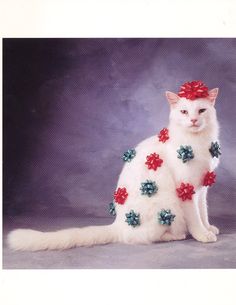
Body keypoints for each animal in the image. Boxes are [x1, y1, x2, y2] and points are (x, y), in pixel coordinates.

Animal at [7, 80, 221, 249]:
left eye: (201, 110)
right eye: (184, 112)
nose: (193, 120)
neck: (196, 141)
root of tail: (118, 223)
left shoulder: (201, 189)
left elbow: (203, 212)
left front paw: (209, 228)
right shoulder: (187, 189)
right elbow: (195, 218)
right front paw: (203, 235)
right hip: (167, 207)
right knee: (141, 238)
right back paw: (175, 236)